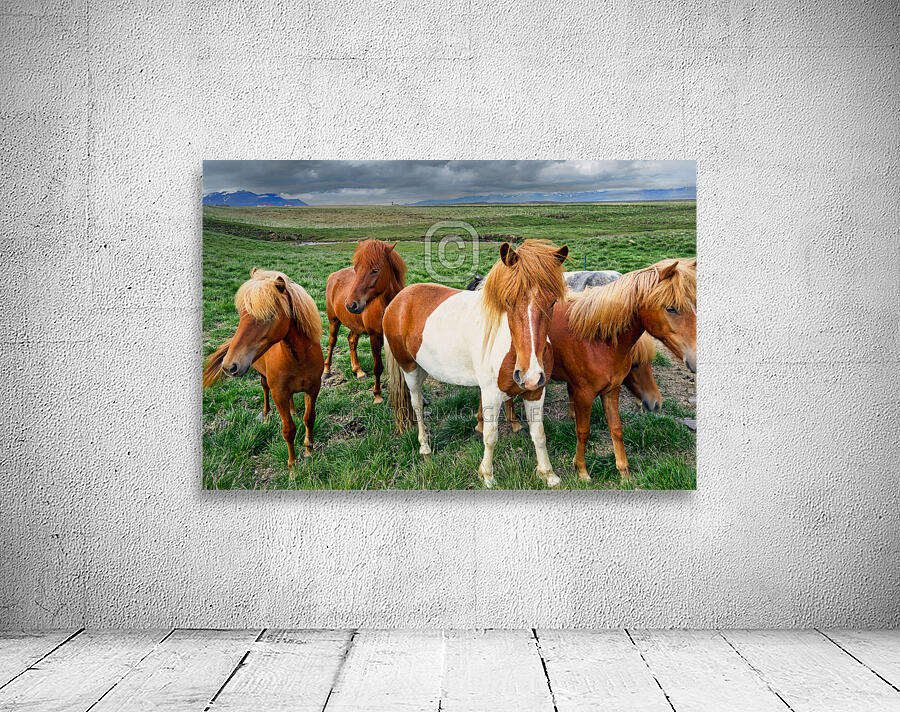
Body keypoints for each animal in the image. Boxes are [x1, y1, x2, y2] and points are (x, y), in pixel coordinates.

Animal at [202, 268, 324, 470]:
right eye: (241, 314)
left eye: (269, 316)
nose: (229, 366)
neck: (299, 358)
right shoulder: (278, 393)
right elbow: (288, 429)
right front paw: (292, 466)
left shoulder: (313, 388)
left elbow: (309, 418)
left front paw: (309, 449)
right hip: (264, 379)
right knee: (264, 389)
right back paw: (266, 415)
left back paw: (293, 410)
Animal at [325, 239, 406, 404]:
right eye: (356, 269)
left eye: (375, 270)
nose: (351, 304)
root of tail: (333, 275)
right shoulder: (375, 337)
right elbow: (378, 367)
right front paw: (377, 395)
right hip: (334, 321)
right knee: (332, 342)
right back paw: (326, 370)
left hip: (355, 325)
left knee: (351, 340)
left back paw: (358, 370)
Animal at [384, 240, 569, 488]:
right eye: (508, 300)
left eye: (552, 302)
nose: (529, 374)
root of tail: (399, 298)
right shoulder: (491, 393)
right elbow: (490, 436)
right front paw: (487, 475)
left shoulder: (535, 391)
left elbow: (538, 434)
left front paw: (548, 474)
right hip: (409, 368)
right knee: (416, 404)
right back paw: (424, 447)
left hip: (423, 368)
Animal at [559, 258, 697, 482]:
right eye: (671, 308)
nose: (655, 404)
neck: (594, 340)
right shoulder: (584, 395)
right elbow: (583, 431)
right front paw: (581, 470)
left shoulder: (611, 390)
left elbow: (616, 429)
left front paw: (623, 472)